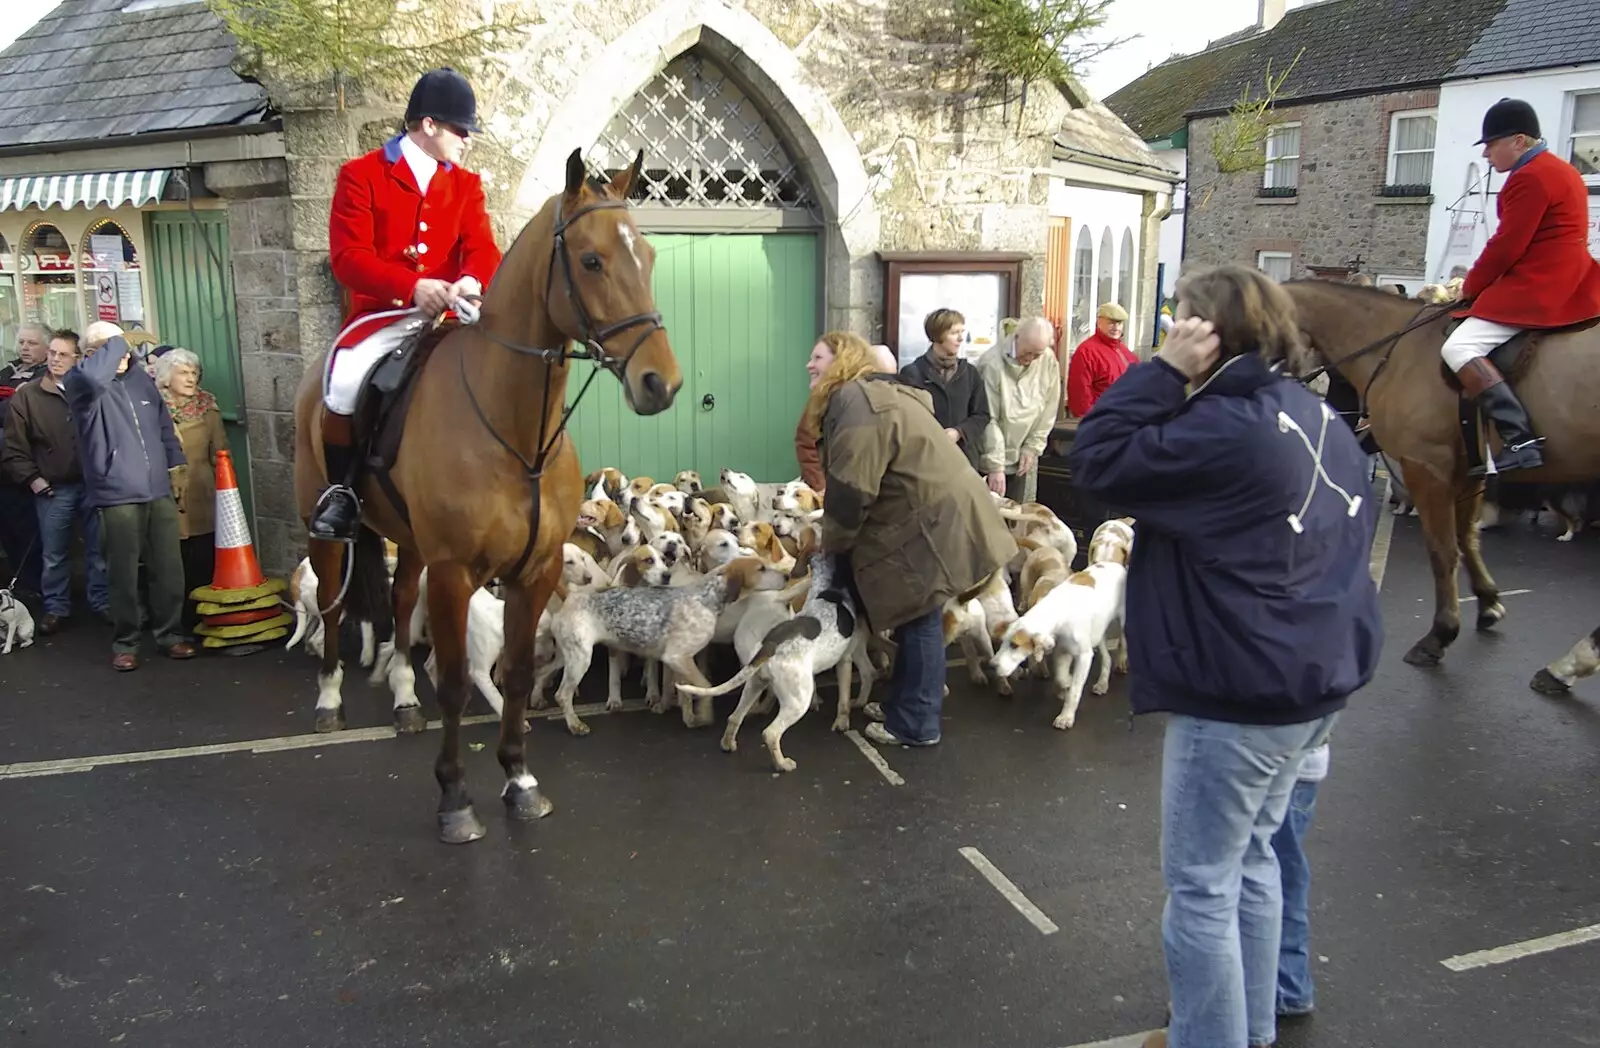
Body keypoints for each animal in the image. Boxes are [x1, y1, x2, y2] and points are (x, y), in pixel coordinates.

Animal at [294, 149, 681, 844]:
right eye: (591, 260)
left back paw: (402, 698)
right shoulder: (455, 573)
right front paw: (455, 798)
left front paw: (520, 780)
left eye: (649, 255)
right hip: (326, 531)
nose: (660, 383)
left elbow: (522, 676)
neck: (516, 435)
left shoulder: (536, 569)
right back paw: (331, 699)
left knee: (399, 601)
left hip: (412, 542)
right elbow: (453, 683)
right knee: (336, 608)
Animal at [1286, 278, 1600, 668]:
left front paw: (1441, 633)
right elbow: (1467, 539)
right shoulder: (1468, 471)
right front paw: (1488, 602)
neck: (1399, 351)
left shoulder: (1427, 467)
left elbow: (1442, 549)